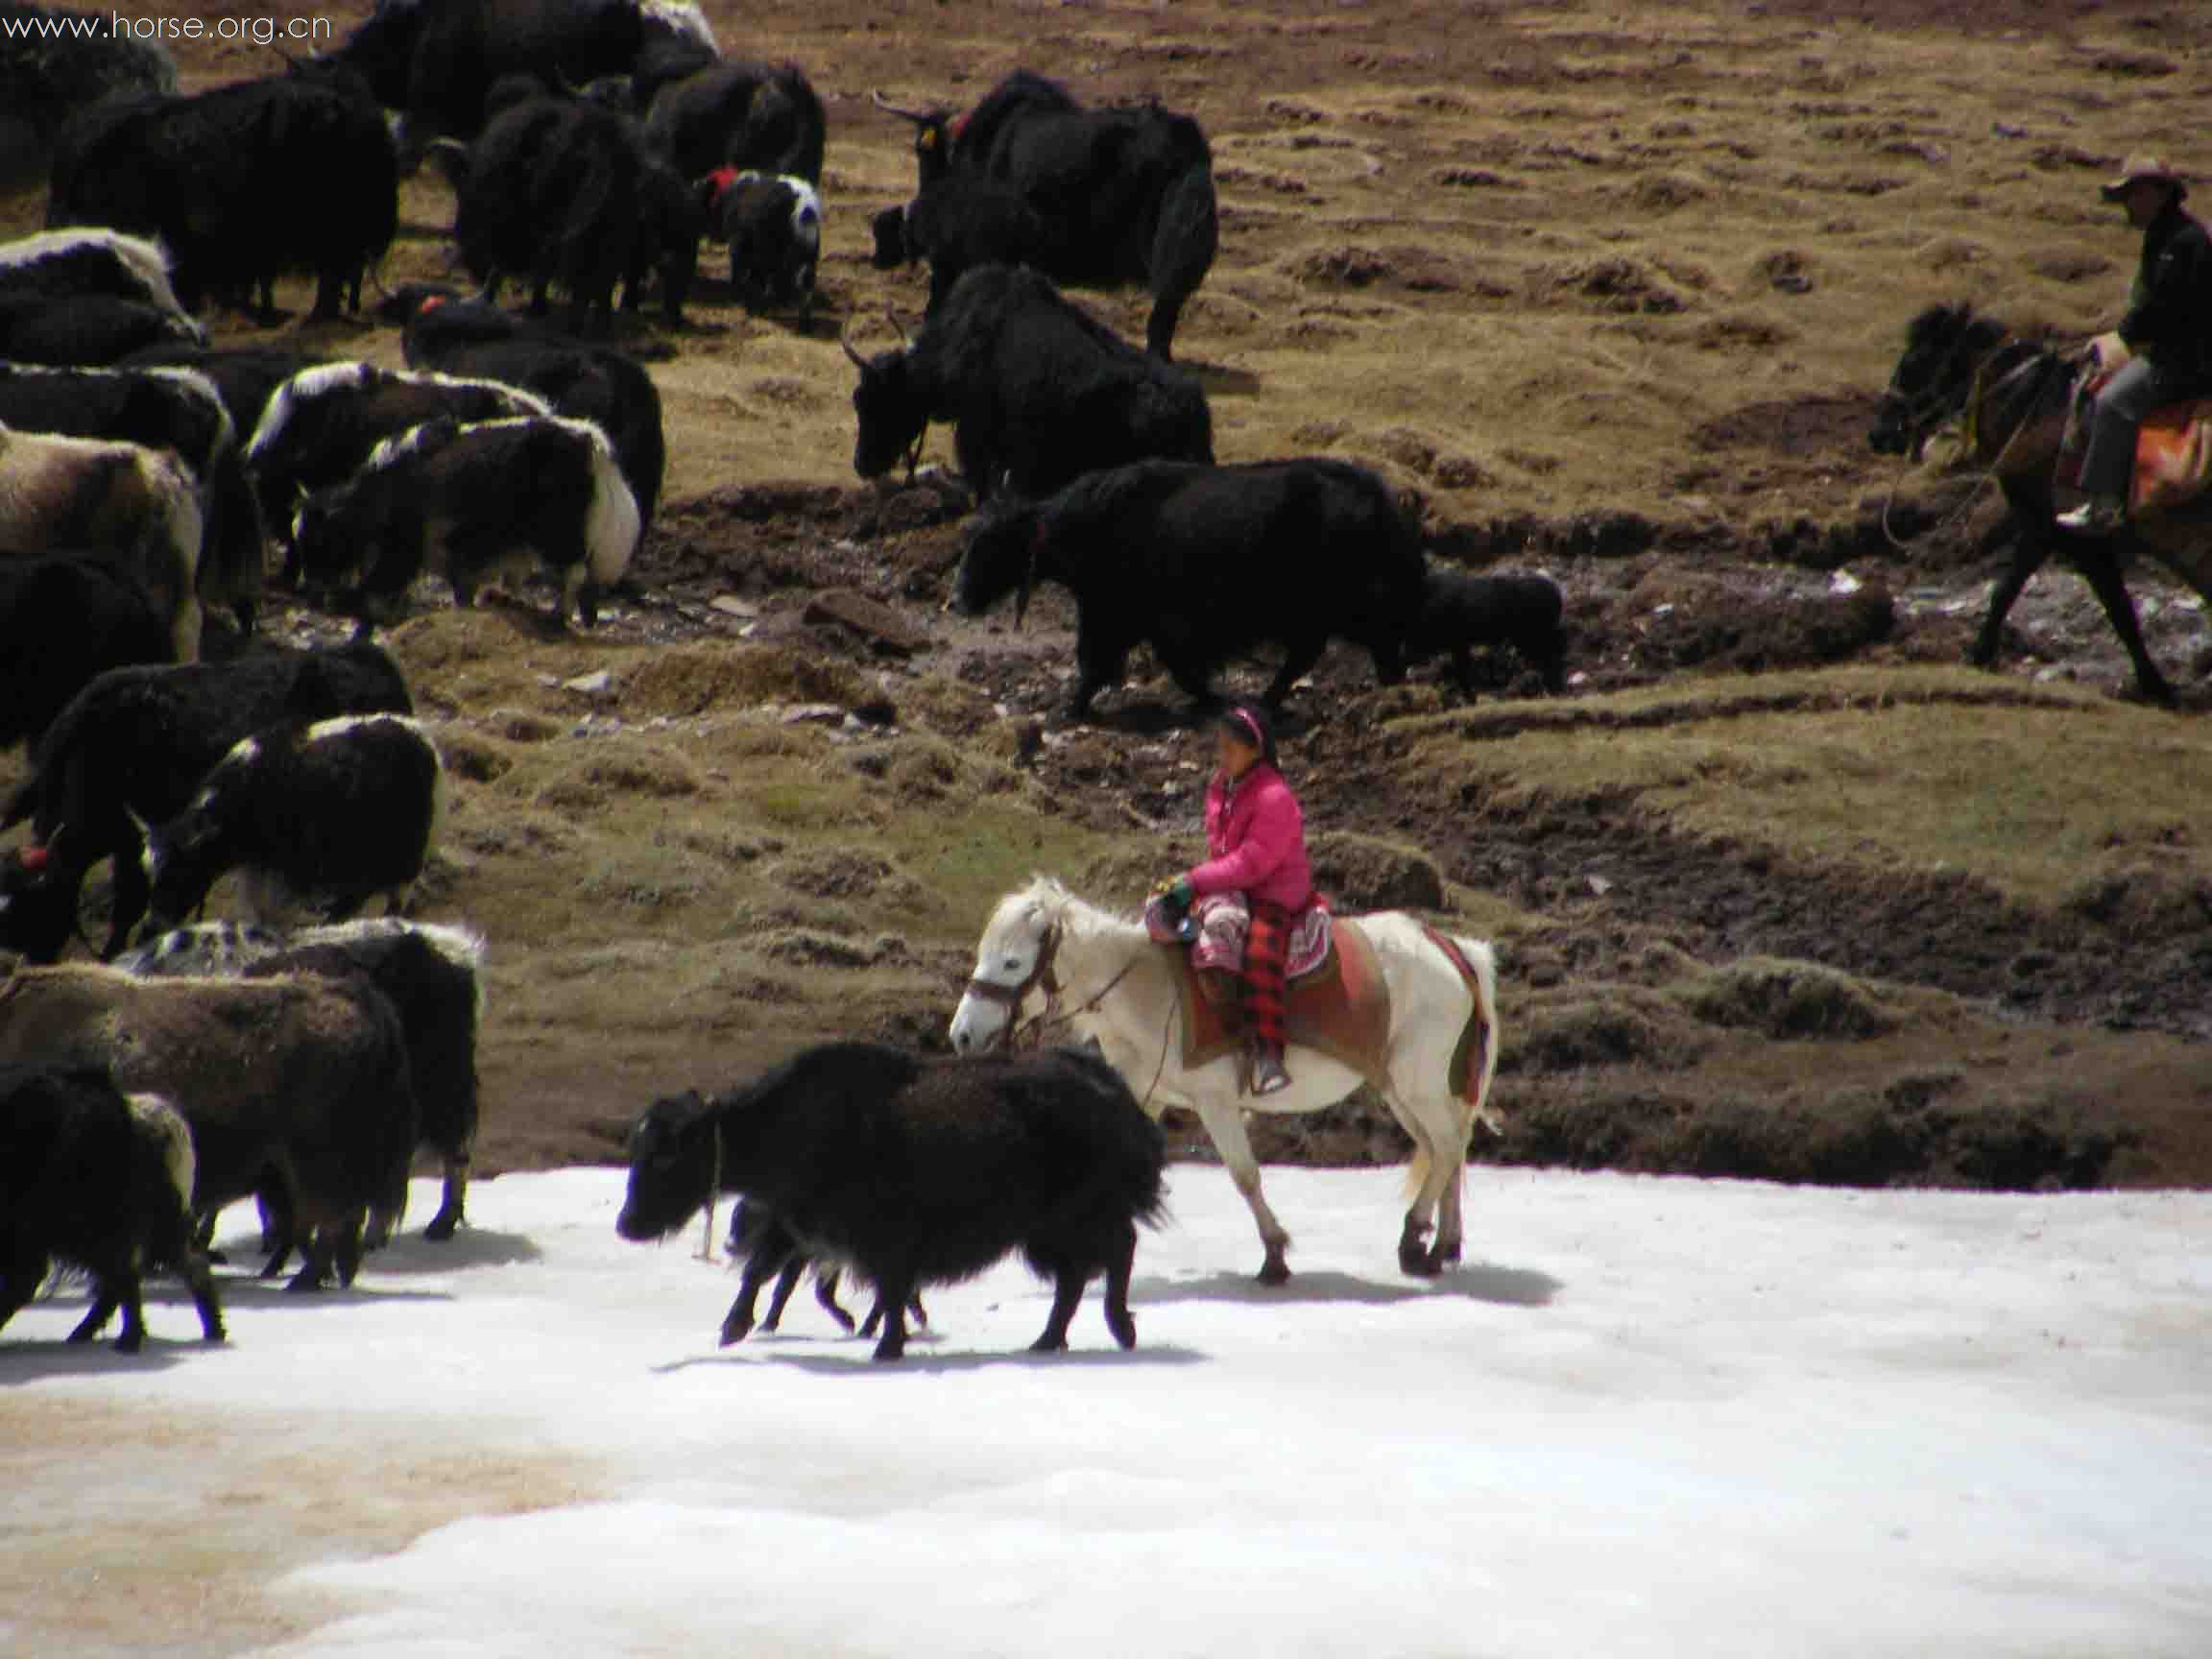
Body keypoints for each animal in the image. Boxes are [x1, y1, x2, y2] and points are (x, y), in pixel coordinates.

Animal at [950, 884, 1503, 1283]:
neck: (1149, 992)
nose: (963, 1036)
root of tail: (1452, 948)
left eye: (1012, 962)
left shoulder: (1215, 1102)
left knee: (1447, 1146)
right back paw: (1442, 1244)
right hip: (1404, 1089)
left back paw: (1416, 1242)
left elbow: (1244, 1175)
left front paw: (1275, 1255)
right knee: (1448, 1147)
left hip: (1417, 1084)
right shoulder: (1145, 1095)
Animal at [1866, 302, 2212, 703]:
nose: (1879, 433)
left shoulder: (2056, 533)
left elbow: (2014, 591)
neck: (2038, 412)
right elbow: (2118, 609)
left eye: (1914, 363)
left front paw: (1977, 654)